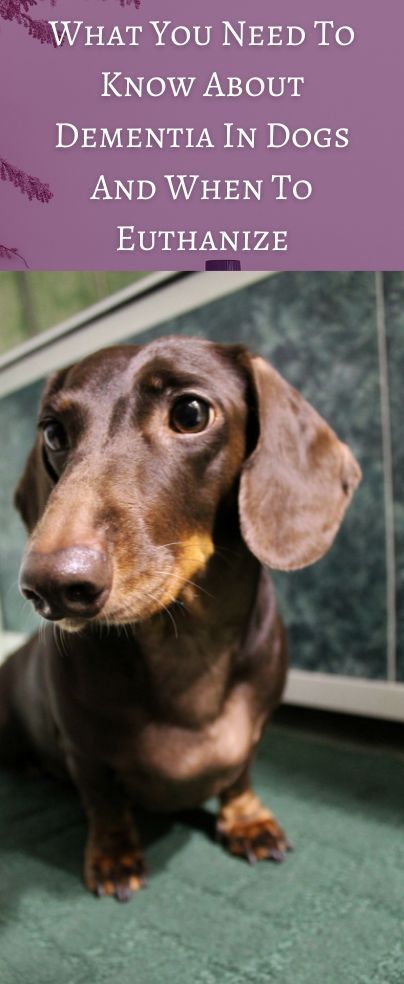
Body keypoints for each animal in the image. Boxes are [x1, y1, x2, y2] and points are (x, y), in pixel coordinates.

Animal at [0, 336, 362, 900]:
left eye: (191, 413)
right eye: (54, 433)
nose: (51, 587)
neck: (188, 643)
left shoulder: (253, 731)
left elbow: (239, 774)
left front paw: (246, 820)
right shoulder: (84, 753)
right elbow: (103, 801)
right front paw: (113, 855)